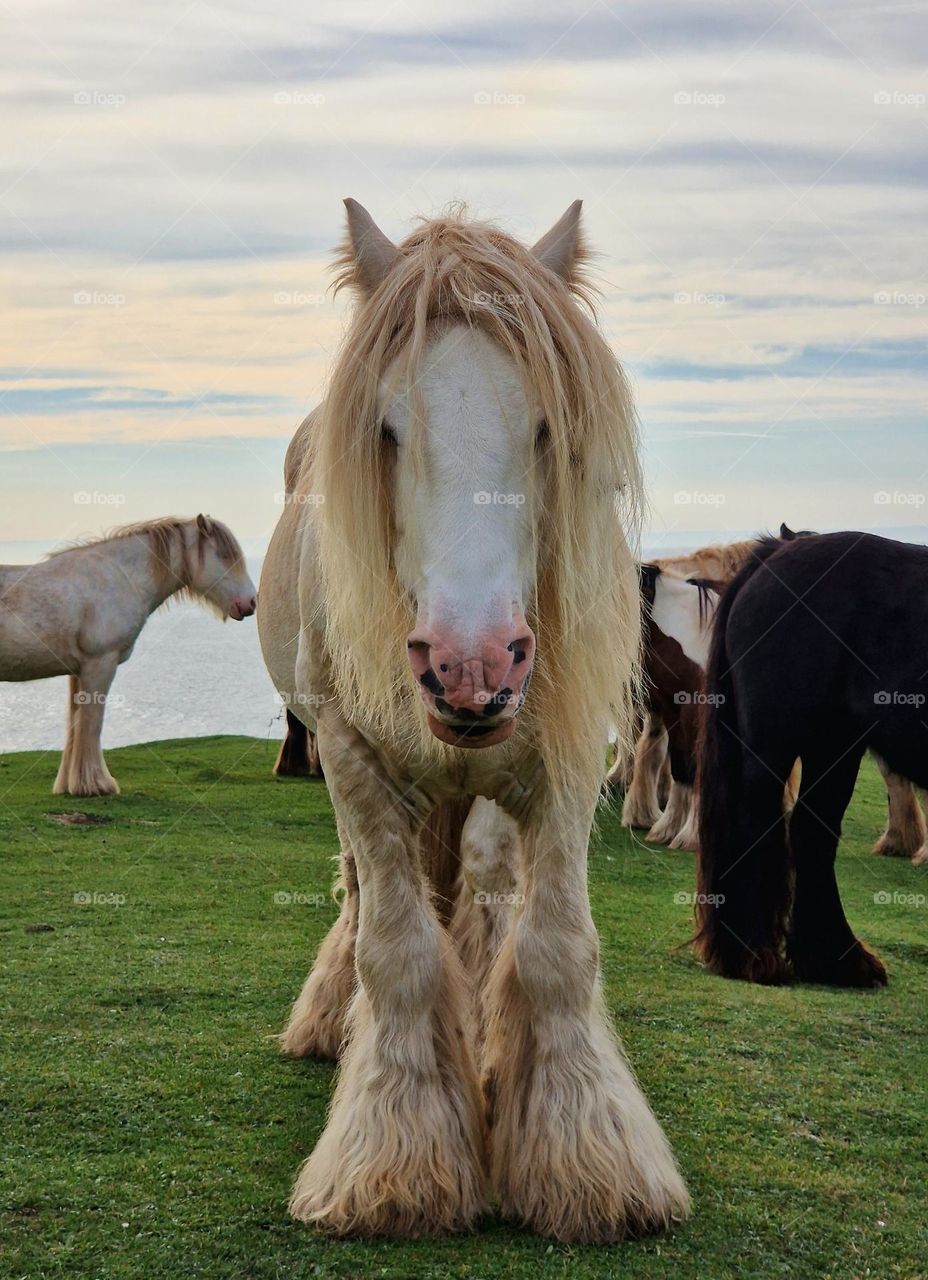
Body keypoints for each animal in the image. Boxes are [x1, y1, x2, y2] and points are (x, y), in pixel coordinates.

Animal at [0, 514, 253, 793]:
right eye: (225, 555)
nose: (250, 603)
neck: (119, 577)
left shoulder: (78, 671)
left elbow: (76, 723)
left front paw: (70, 784)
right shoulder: (100, 663)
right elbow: (92, 723)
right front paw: (96, 785)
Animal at [254, 199, 686, 1239]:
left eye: (545, 428)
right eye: (387, 429)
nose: (470, 663)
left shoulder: (561, 756)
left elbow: (553, 949)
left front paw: (587, 1160)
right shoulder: (351, 754)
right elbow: (398, 951)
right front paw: (394, 1163)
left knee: (487, 895)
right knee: (367, 894)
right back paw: (331, 1024)